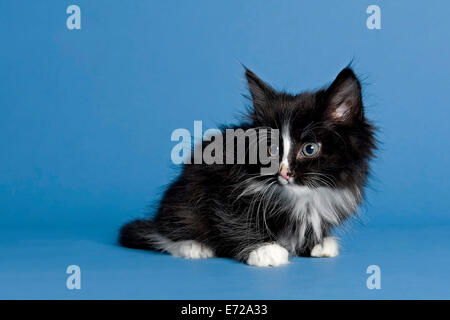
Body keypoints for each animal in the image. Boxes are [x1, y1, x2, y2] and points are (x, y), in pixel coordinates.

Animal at [120, 67, 376, 268]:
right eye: (271, 149)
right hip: (183, 198)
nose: (284, 173)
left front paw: (318, 243)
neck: (301, 197)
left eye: (310, 149)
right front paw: (264, 249)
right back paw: (193, 246)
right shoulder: (221, 186)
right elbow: (233, 219)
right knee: (167, 231)